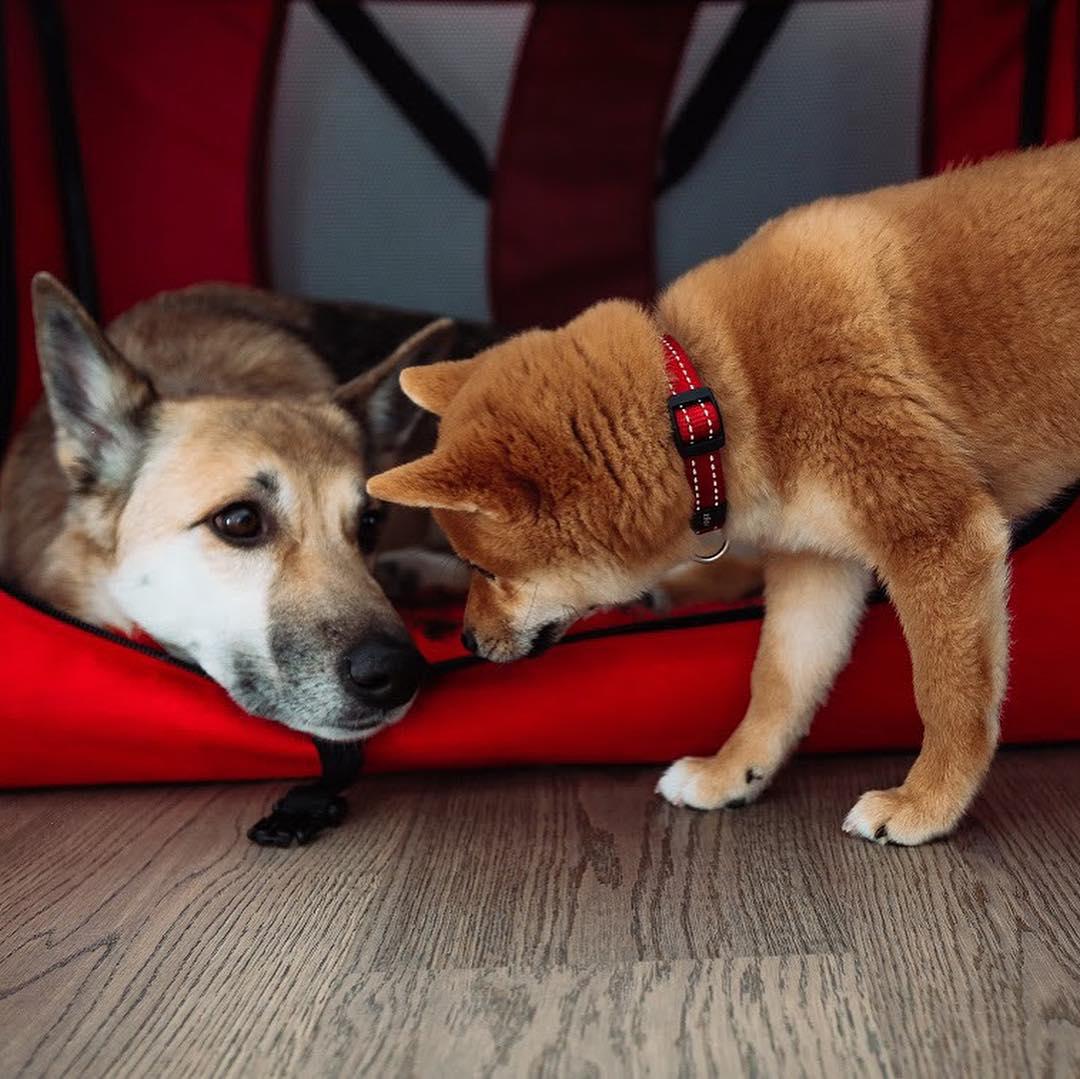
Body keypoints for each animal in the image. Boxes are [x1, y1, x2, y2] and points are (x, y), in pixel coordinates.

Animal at [369, 143, 1080, 846]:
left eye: (485, 569)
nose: (465, 641)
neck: (707, 402)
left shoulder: (940, 535)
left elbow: (947, 693)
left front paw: (927, 803)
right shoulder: (816, 561)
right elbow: (778, 682)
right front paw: (733, 771)